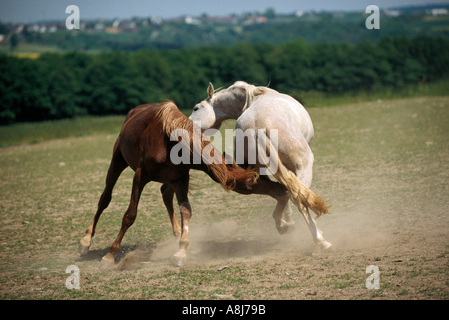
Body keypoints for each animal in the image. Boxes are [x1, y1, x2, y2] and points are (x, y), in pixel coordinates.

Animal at [79, 101, 288, 266]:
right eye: (253, 181)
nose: (283, 190)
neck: (171, 142)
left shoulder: (180, 180)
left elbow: (186, 211)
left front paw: (181, 250)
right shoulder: (140, 176)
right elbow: (130, 215)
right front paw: (110, 255)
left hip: (167, 180)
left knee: (165, 194)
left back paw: (177, 231)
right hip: (117, 161)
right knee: (105, 198)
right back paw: (86, 241)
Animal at [189, 80, 332, 250]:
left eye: (196, 108)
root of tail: (257, 129)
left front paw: (286, 222)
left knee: (281, 191)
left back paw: (282, 225)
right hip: (303, 166)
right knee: (299, 200)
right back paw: (320, 240)